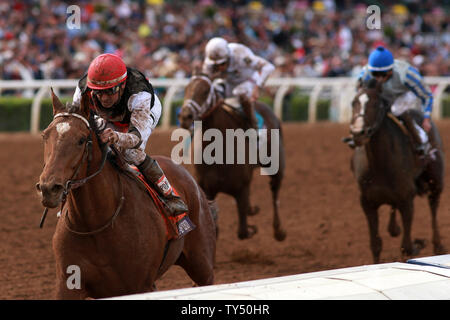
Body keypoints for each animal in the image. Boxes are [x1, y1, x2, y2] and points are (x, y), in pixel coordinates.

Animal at [37, 90, 216, 300]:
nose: (49, 188)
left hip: (202, 264)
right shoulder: (68, 285)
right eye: (45, 135)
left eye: (81, 140)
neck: (95, 225)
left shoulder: (141, 285)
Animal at [178, 72, 286, 241]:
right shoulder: (207, 190)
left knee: (275, 191)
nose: (185, 117)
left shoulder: (241, 188)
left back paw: (278, 230)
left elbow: (242, 232)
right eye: (186, 89)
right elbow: (215, 229)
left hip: (277, 165)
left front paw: (251, 227)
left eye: (205, 91)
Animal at [350, 79, 444, 262]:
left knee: (434, 204)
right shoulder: (367, 203)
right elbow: (375, 244)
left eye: (376, 104)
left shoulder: (407, 200)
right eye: (353, 102)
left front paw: (418, 243)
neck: (379, 166)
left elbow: (406, 246)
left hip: (436, 179)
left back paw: (438, 245)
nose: (358, 132)